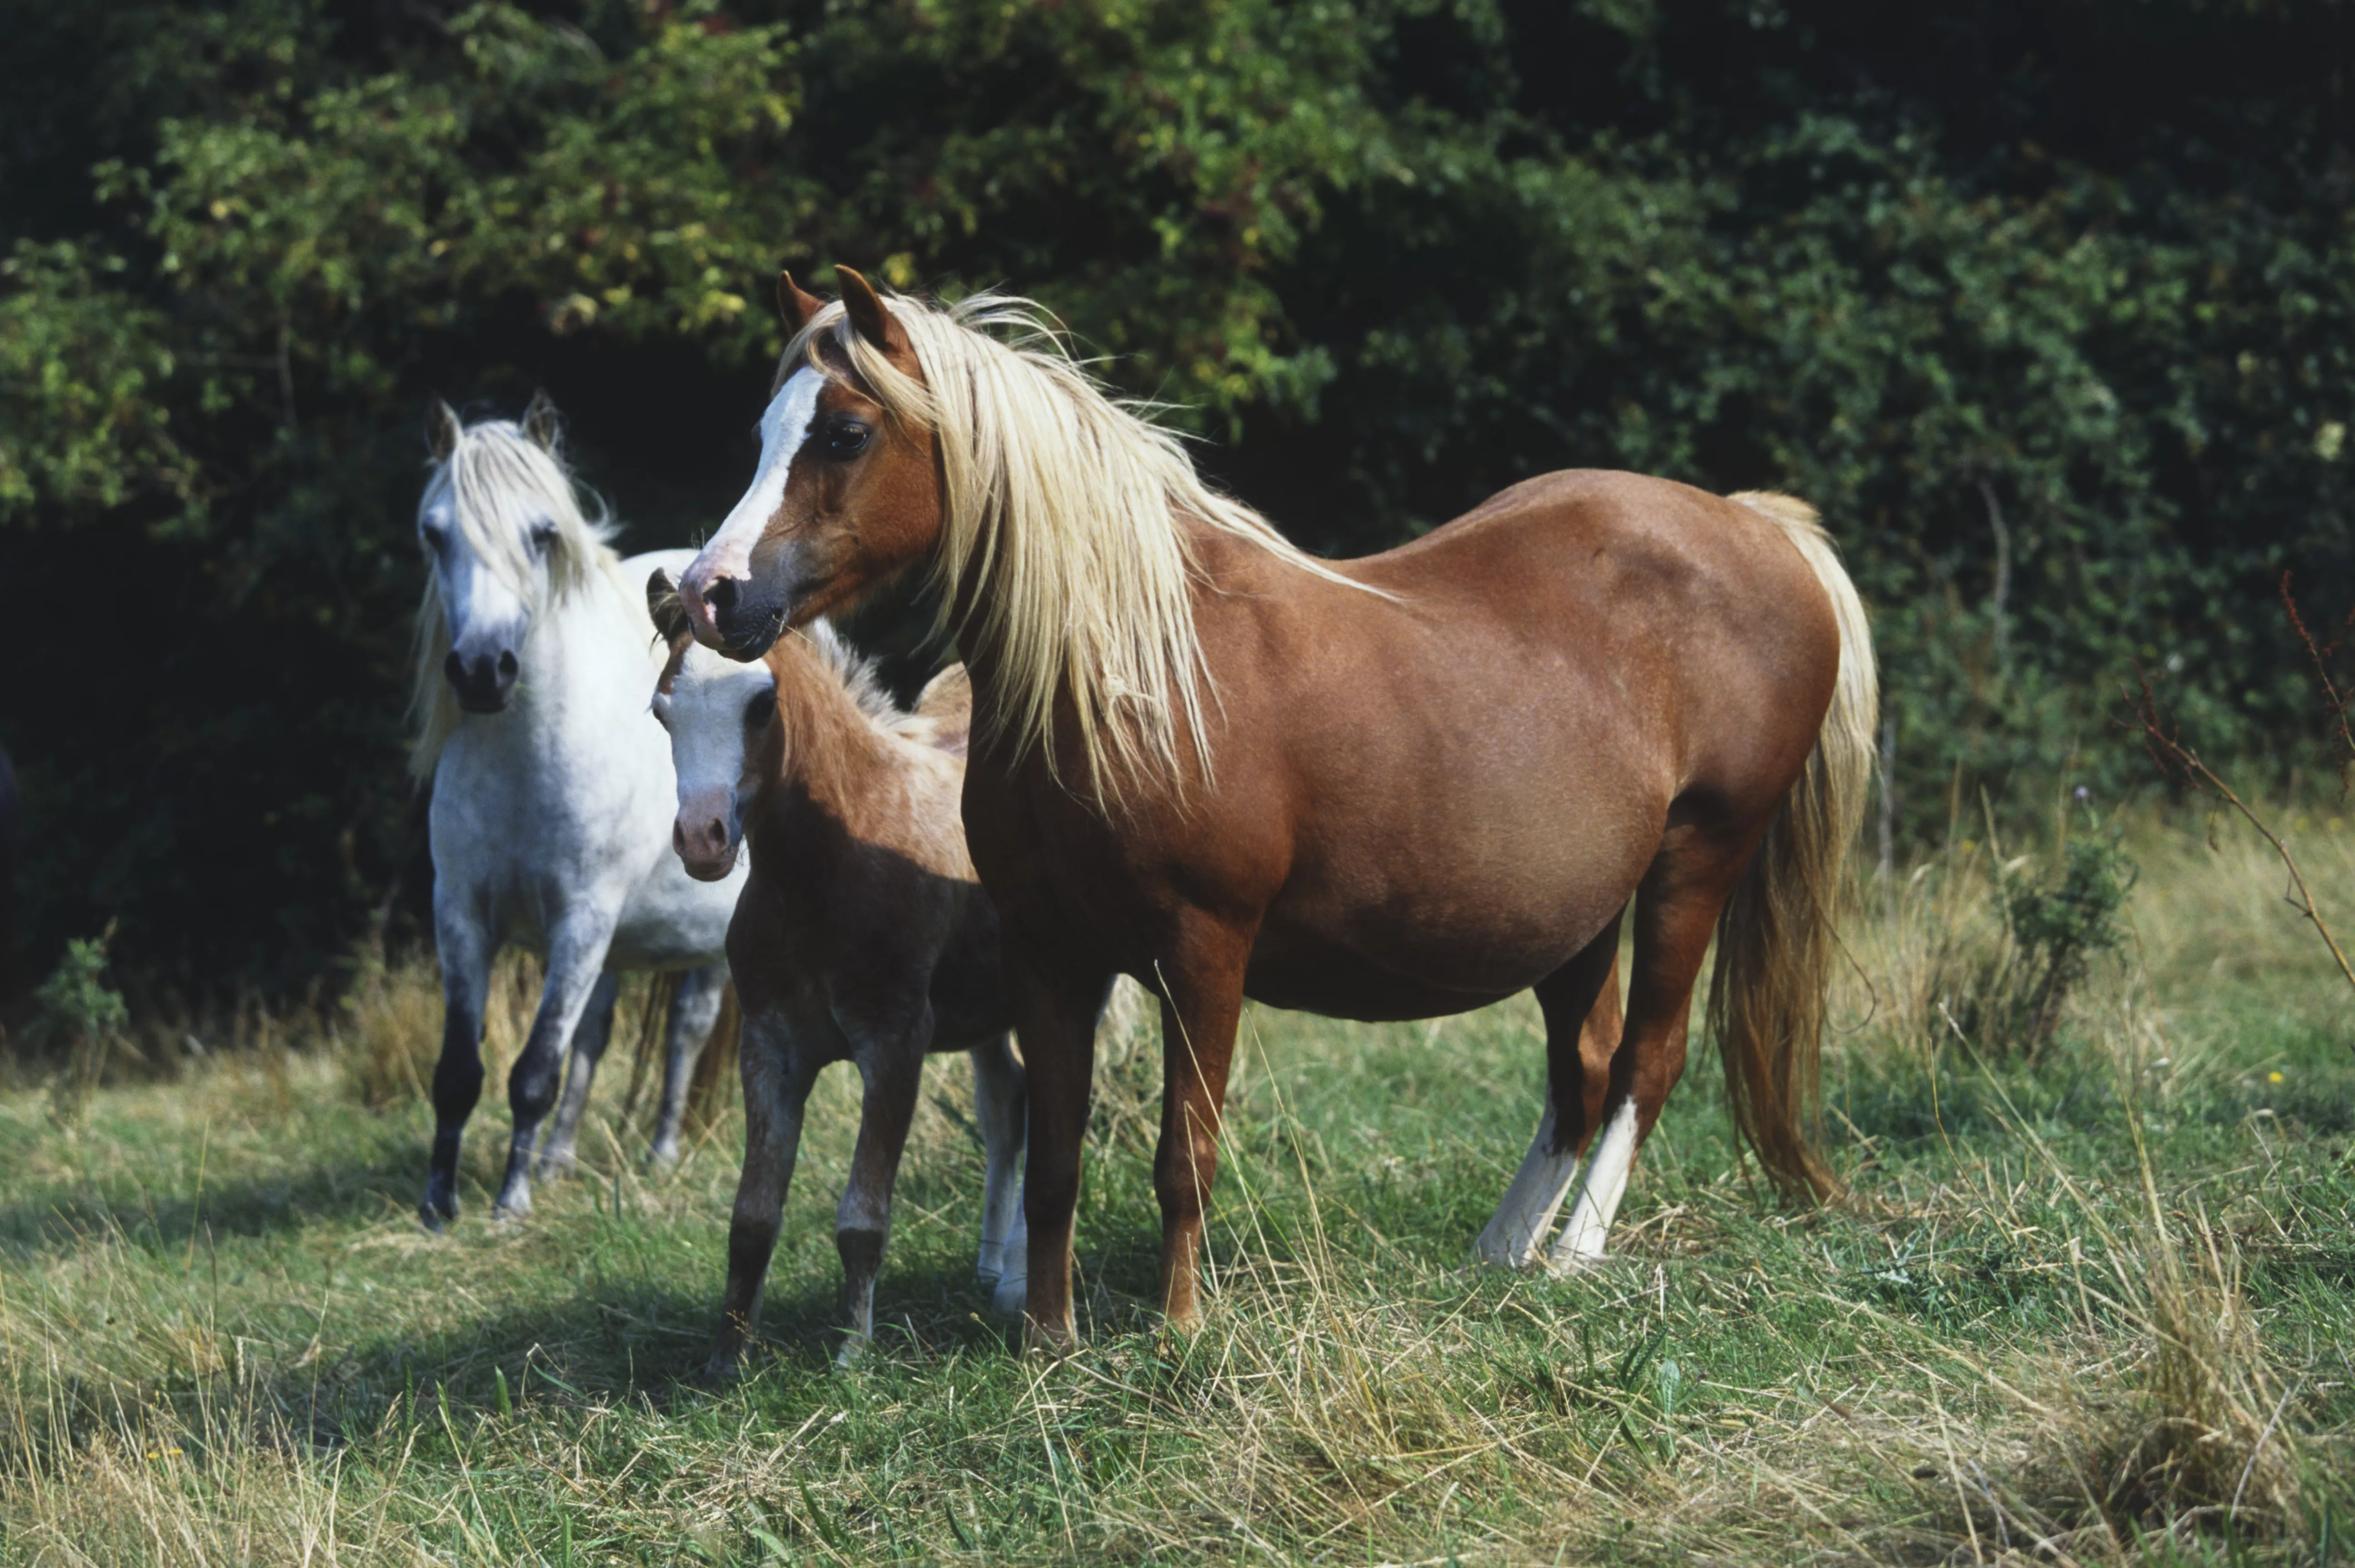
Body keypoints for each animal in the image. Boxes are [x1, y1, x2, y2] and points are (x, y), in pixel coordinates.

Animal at [411, 394, 745, 1227]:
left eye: (542, 533)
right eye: (434, 533)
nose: (481, 670)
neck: (525, 759)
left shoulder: (582, 918)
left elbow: (533, 1069)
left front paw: (510, 1203)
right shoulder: (460, 915)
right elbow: (460, 1070)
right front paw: (438, 1204)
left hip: (712, 940)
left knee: (687, 1032)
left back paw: (661, 1153)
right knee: (594, 1034)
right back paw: (560, 1158)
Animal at [645, 572, 1026, 1370]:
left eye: (762, 705)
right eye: (663, 711)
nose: (702, 840)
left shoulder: (894, 1042)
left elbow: (862, 1215)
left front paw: (853, 1352)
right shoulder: (770, 1048)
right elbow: (752, 1216)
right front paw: (727, 1357)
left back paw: (1017, 1283)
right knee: (1007, 1107)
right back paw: (990, 1270)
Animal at [676, 272, 1876, 1348]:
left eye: (844, 433)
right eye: (763, 430)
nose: (708, 593)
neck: (1128, 676)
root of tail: (1759, 529)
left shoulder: (1205, 947)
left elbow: (1183, 1155)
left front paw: (1177, 1331)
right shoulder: (1049, 953)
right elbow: (1055, 1156)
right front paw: (1051, 1338)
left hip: (1696, 860)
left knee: (1644, 1062)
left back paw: (1574, 1256)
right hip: (1575, 915)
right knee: (1576, 1074)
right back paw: (1500, 1255)